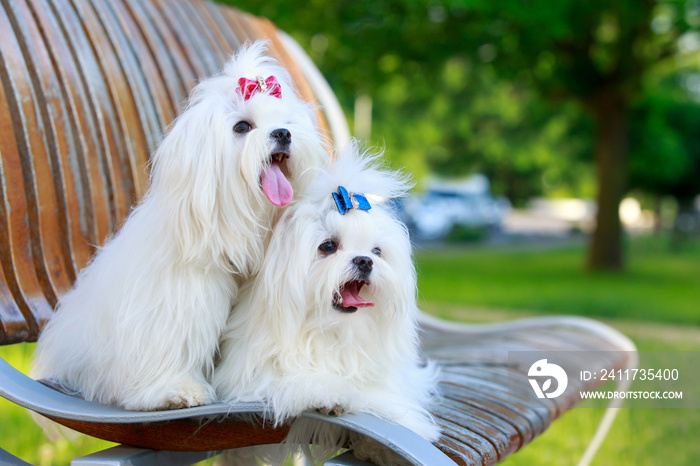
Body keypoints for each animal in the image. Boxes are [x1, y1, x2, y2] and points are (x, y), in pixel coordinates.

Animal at [31, 41, 326, 410]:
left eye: (287, 123)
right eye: (242, 127)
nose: (283, 134)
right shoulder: (178, 296)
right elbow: (174, 336)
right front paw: (176, 389)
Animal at [213, 145, 440, 462]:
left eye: (377, 251)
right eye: (328, 246)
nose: (365, 261)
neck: (331, 334)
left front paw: (378, 446)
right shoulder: (250, 376)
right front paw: (330, 395)